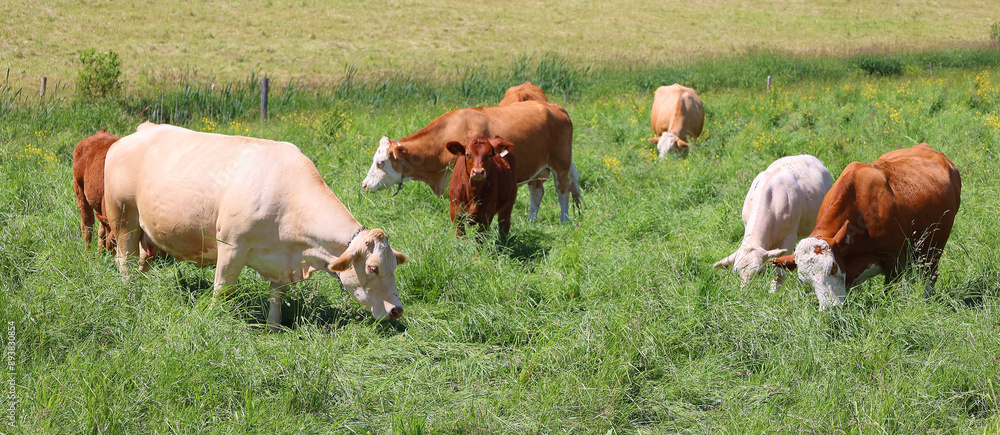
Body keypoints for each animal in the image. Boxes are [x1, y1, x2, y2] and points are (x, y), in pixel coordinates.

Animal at [104, 123, 408, 329]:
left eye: (394, 265)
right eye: (373, 267)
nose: (397, 310)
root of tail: (142, 130)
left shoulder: (283, 260)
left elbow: (277, 295)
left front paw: (274, 326)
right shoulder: (231, 247)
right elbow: (222, 289)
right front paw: (214, 318)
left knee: (142, 261)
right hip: (123, 217)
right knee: (124, 260)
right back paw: (130, 294)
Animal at [361, 100, 581, 223]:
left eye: (380, 163)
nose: (364, 184)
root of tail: (553, 106)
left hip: (561, 164)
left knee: (563, 190)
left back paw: (564, 221)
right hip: (538, 168)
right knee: (537, 192)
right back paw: (531, 221)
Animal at [713, 155, 833, 292]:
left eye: (759, 272)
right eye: (737, 273)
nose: (745, 293)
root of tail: (807, 156)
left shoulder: (789, 239)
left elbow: (779, 272)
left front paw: (773, 293)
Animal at [772, 143, 961, 309]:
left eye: (832, 268)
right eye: (805, 280)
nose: (830, 308)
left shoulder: (895, 259)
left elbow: (891, 292)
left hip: (934, 246)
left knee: (929, 275)